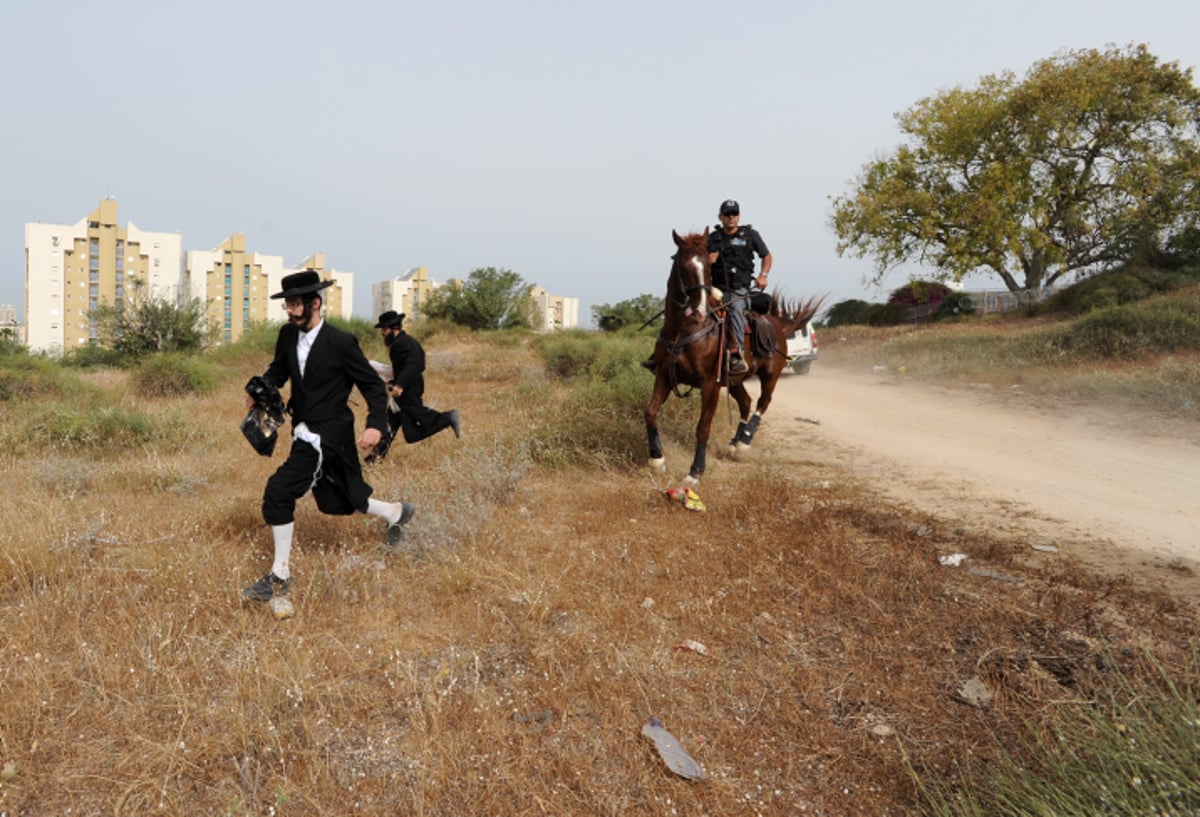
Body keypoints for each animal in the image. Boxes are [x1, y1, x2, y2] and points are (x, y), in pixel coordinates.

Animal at [648, 229, 825, 482]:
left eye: (707, 266)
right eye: (683, 267)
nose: (699, 311)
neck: (685, 329)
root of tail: (777, 323)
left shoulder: (710, 384)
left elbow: (703, 427)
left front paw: (696, 471)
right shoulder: (663, 377)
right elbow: (650, 413)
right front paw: (657, 459)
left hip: (770, 375)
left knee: (762, 402)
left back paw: (744, 441)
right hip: (735, 380)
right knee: (746, 402)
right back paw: (734, 442)